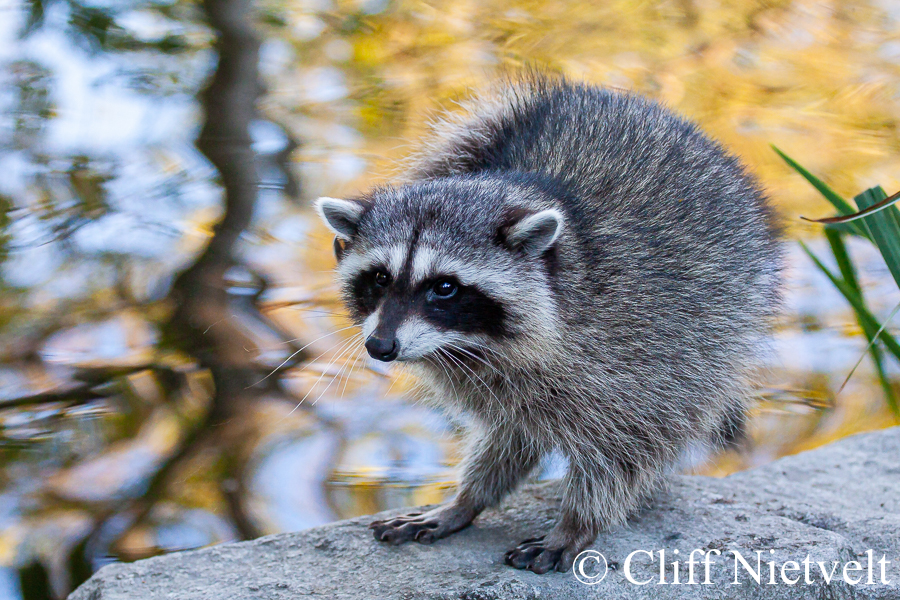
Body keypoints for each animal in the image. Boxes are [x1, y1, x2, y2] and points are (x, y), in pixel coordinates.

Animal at [314, 75, 782, 574]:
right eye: (380, 278)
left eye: (444, 287)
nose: (380, 347)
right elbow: (508, 433)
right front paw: (467, 499)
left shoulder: (647, 341)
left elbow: (631, 444)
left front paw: (578, 522)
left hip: (723, 315)